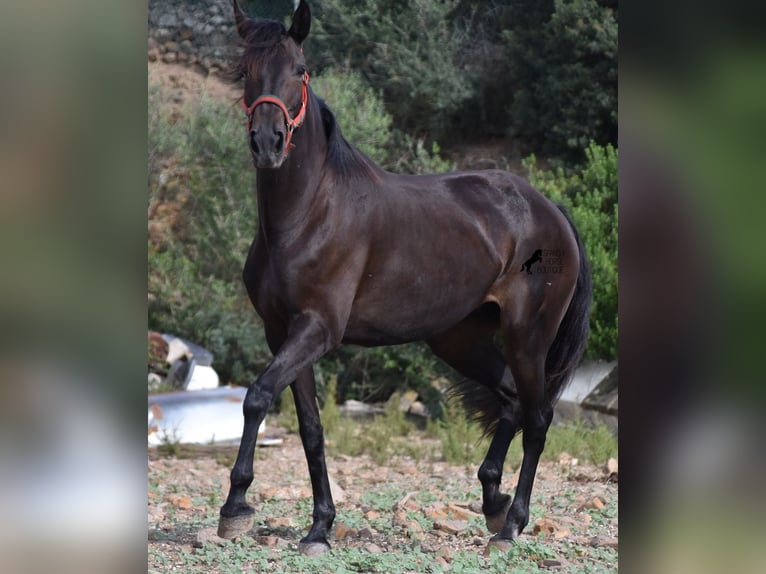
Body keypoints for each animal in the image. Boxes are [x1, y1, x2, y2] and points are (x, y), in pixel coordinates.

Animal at [218, 0, 592, 560]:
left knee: (538, 417)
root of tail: (550, 210)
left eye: (300, 71)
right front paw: (319, 527)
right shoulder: (282, 332)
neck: (306, 215)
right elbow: (310, 429)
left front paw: (236, 507)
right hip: (459, 339)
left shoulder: (317, 330)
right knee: (509, 400)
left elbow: (257, 397)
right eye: (247, 71)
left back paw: (510, 526)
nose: (269, 143)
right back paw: (492, 500)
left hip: (528, 337)